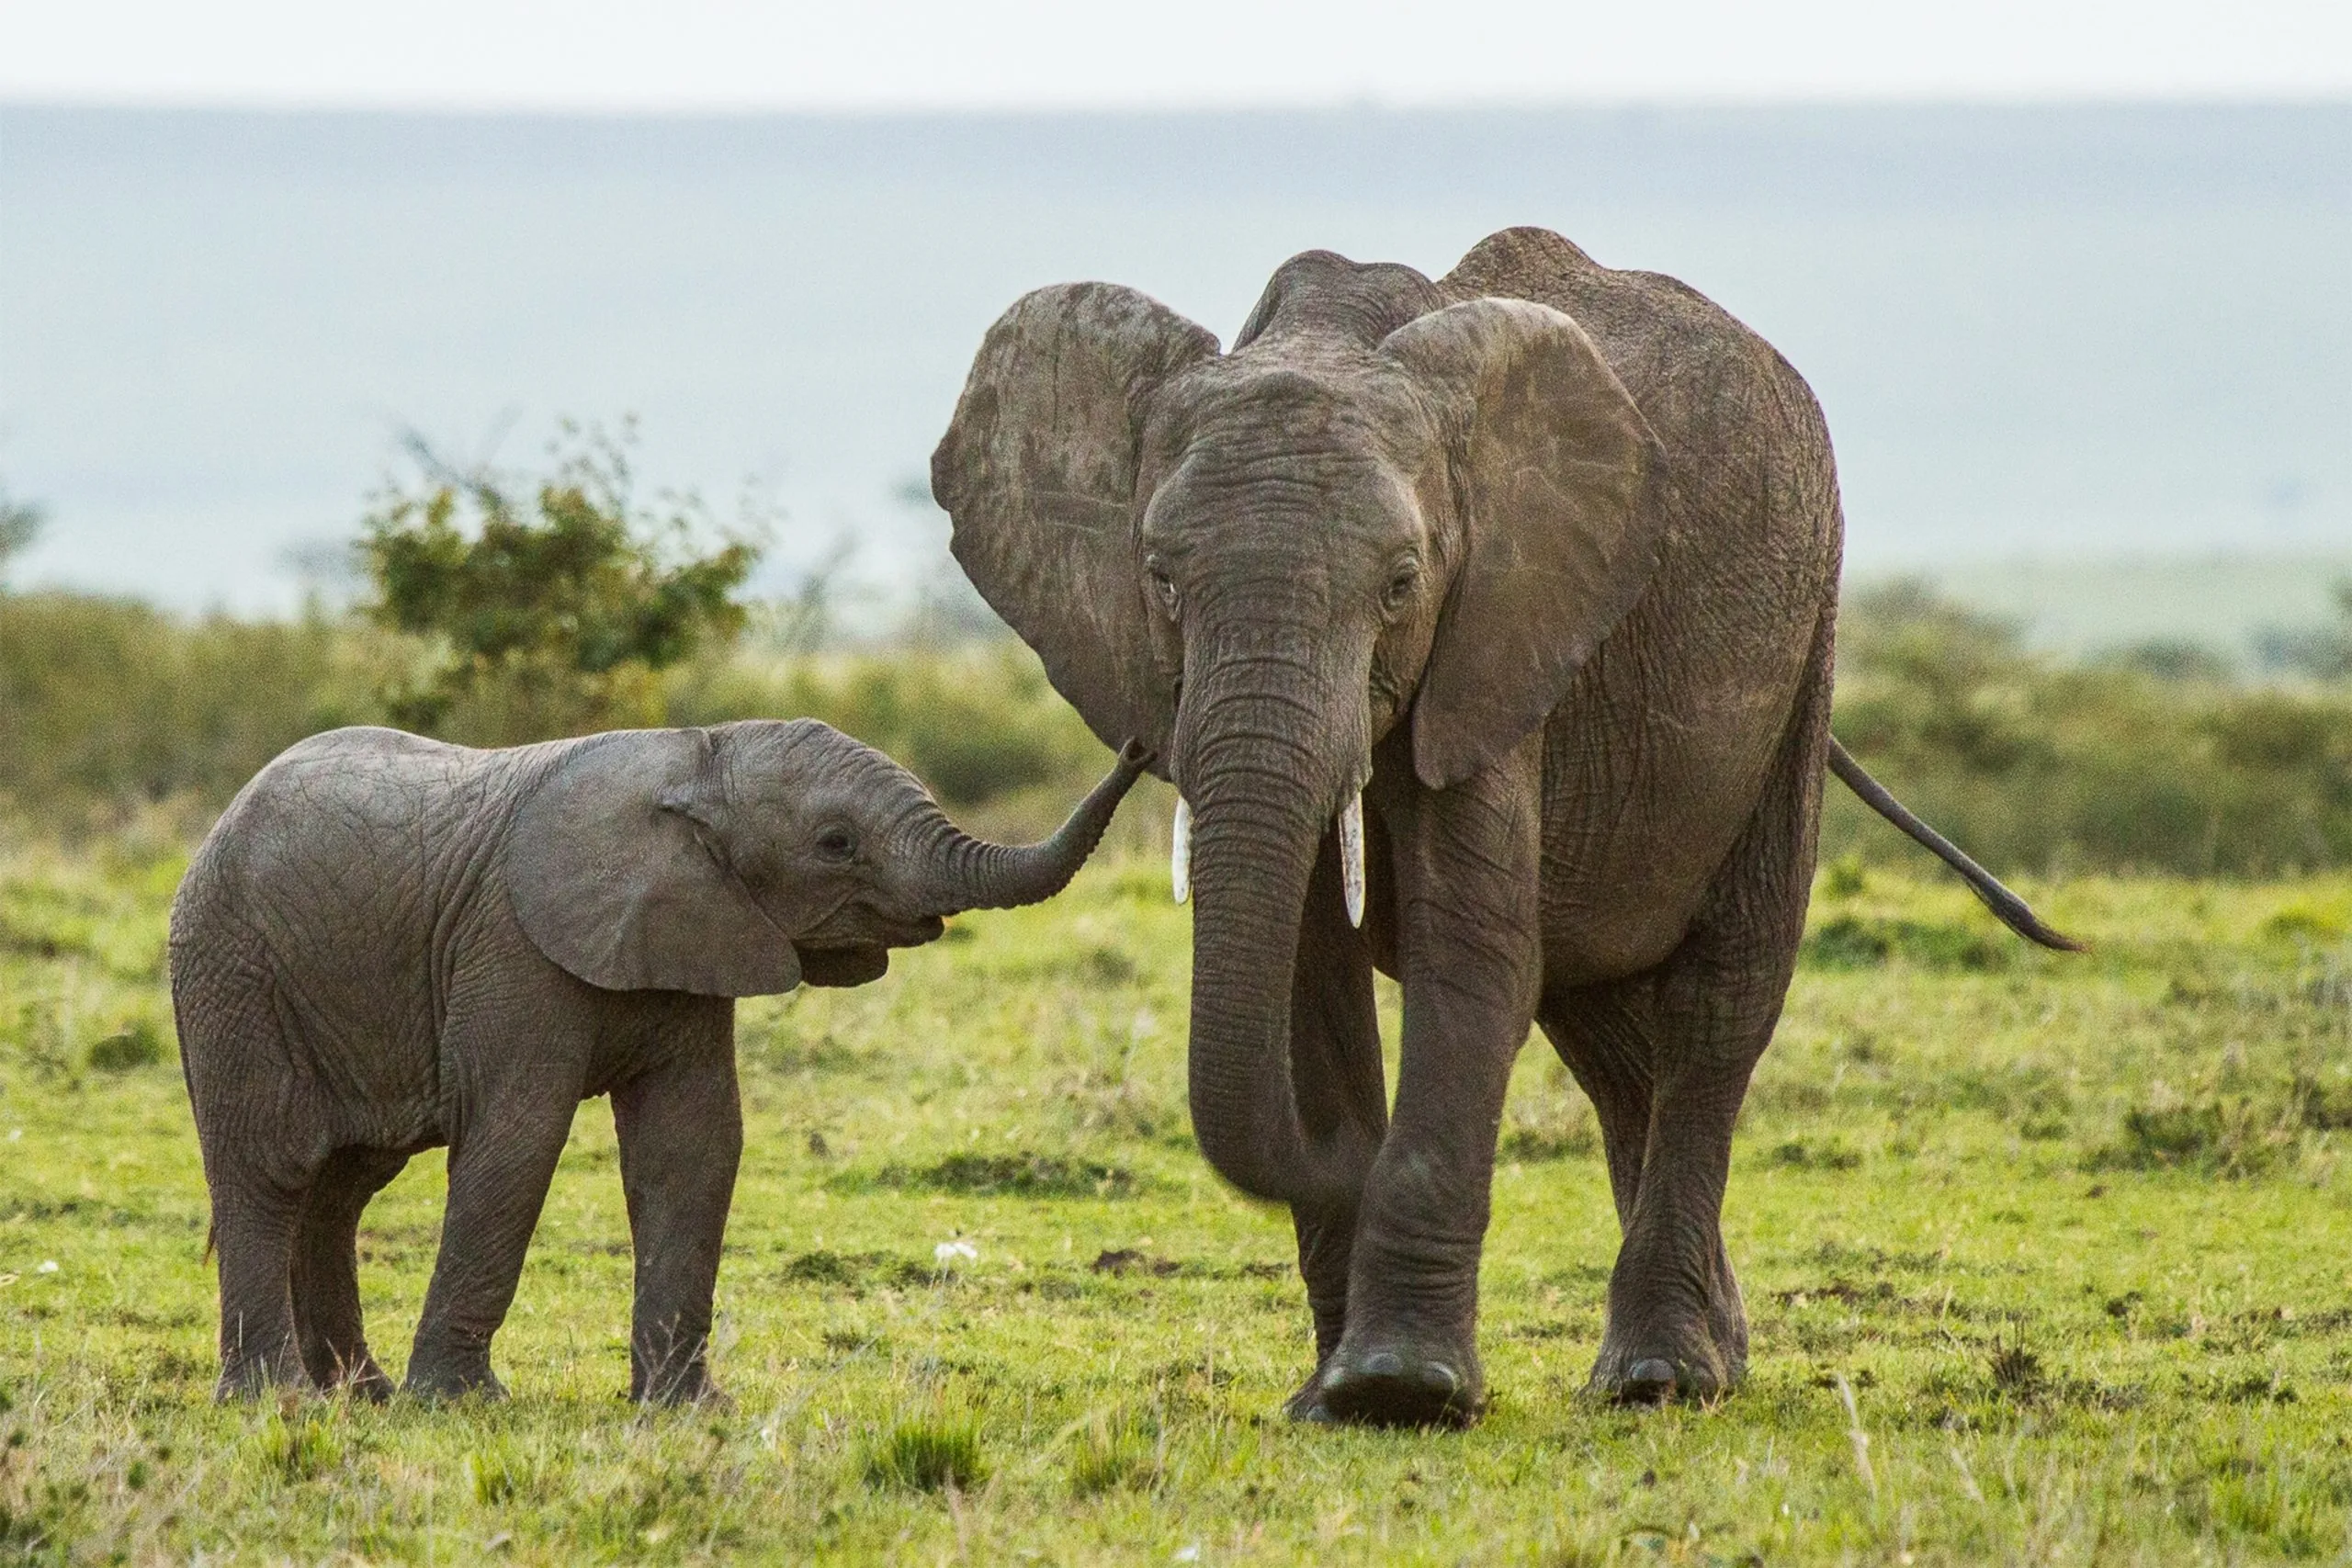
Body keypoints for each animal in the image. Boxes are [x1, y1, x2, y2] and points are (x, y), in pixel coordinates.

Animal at [169, 720, 1146, 1403]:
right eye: (836, 843)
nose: (1140, 739)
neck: (698, 760)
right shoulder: (511, 948)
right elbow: (517, 1142)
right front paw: (461, 1405)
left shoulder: (698, 937)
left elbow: (694, 1144)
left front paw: (687, 1410)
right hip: (233, 971)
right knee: (273, 1166)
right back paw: (280, 1401)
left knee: (342, 1186)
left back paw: (358, 1395)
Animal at [932, 226, 2075, 1427]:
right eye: (1158, 578)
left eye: (1401, 584)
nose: (1130, 757)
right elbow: (1308, 975)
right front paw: (1332, 1397)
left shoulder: (1501, 633)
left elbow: (1469, 948)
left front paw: (1401, 1388)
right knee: (1608, 1038)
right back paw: (1709, 1358)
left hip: (1802, 648)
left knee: (1721, 1004)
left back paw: (1663, 1380)